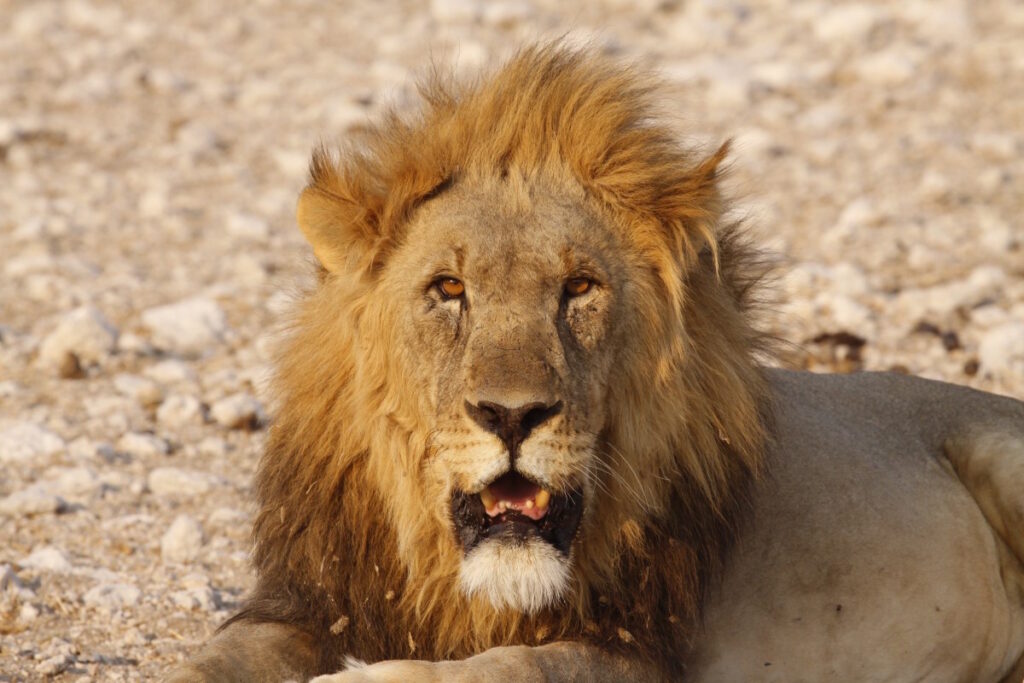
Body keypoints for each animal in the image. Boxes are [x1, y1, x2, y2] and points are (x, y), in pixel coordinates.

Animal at [167, 45, 1024, 679]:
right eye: (449, 289)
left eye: (579, 288)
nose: (512, 414)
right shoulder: (307, 599)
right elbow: (217, 655)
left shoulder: (643, 649)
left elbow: (512, 664)